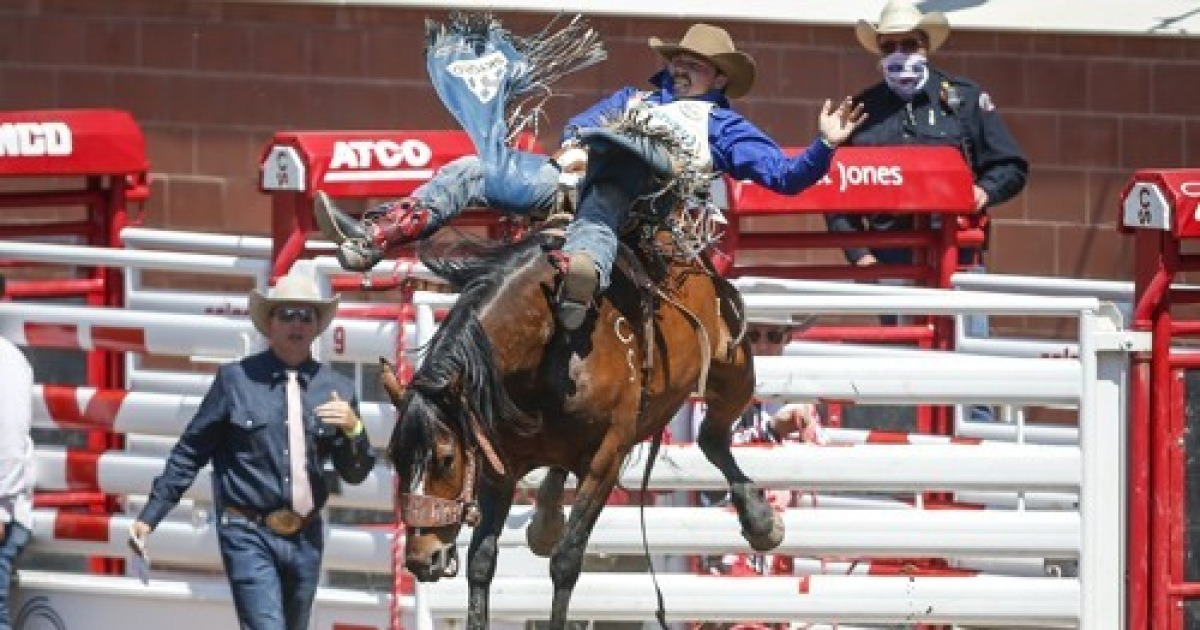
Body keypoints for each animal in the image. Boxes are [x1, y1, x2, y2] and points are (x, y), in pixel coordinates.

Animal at [379, 225, 782, 624]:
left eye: (446, 459)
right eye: (395, 460)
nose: (421, 558)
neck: (550, 344)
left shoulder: (605, 460)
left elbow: (566, 561)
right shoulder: (498, 468)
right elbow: (481, 560)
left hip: (735, 368)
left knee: (712, 437)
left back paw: (761, 520)